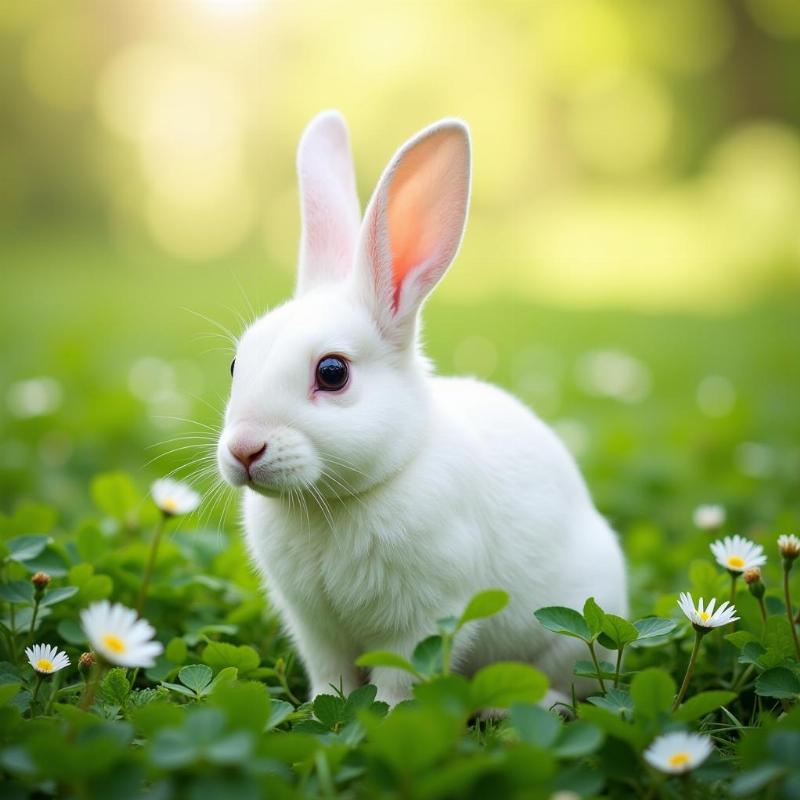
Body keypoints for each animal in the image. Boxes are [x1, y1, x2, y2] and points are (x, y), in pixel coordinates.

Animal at [217, 109, 624, 704]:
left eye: (332, 373)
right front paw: (323, 707)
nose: (244, 450)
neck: (337, 501)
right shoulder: (315, 627)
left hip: (567, 634)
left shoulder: (422, 620)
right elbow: (332, 676)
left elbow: (397, 681)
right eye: (235, 364)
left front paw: (380, 714)